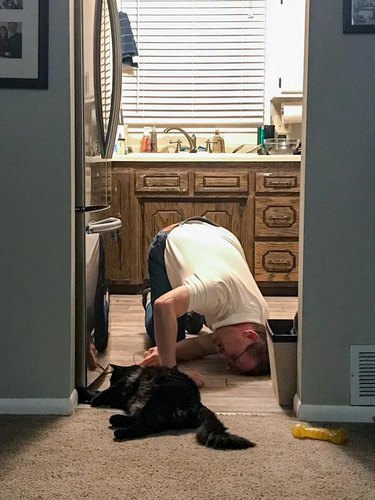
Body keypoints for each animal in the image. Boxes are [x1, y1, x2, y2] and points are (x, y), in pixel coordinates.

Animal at [78, 364, 256, 450]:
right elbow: (97, 391)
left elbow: (104, 392)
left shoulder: (120, 387)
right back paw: (116, 419)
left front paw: (91, 397)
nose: (110, 381)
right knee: (142, 421)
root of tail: (198, 404)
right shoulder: (121, 397)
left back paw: (119, 431)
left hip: (156, 399)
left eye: (111, 379)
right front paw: (83, 392)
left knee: (145, 426)